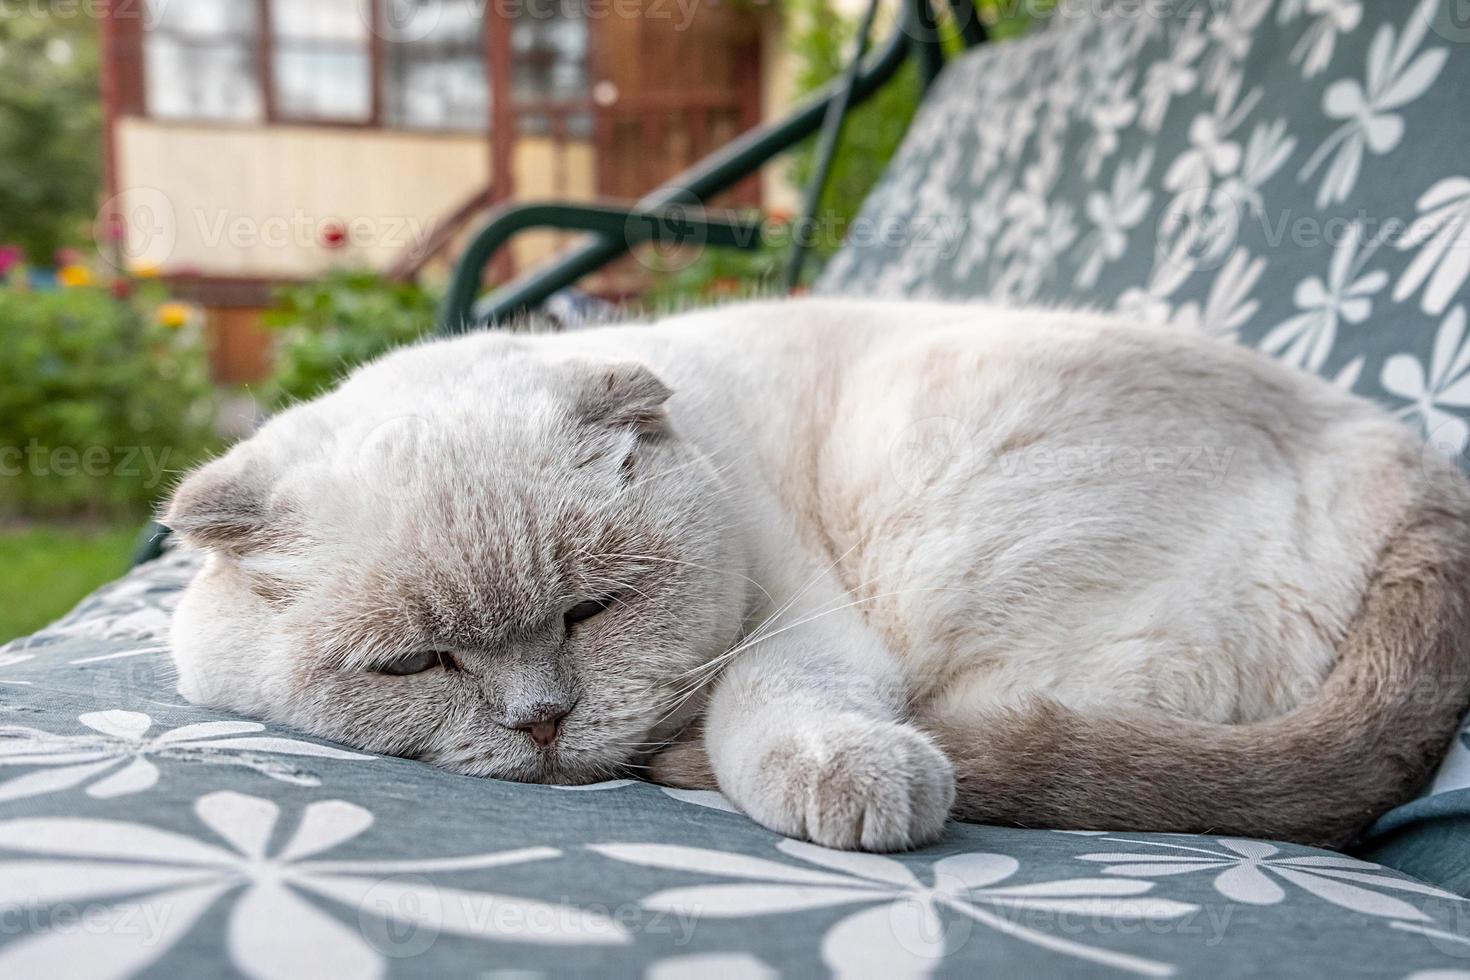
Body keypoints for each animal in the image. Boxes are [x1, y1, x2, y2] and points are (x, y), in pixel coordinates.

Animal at [163, 299, 1470, 852]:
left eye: (592, 610)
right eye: (416, 662)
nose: (542, 721)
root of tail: (1415, 456)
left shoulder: (802, 618)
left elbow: (779, 707)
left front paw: (854, 786)